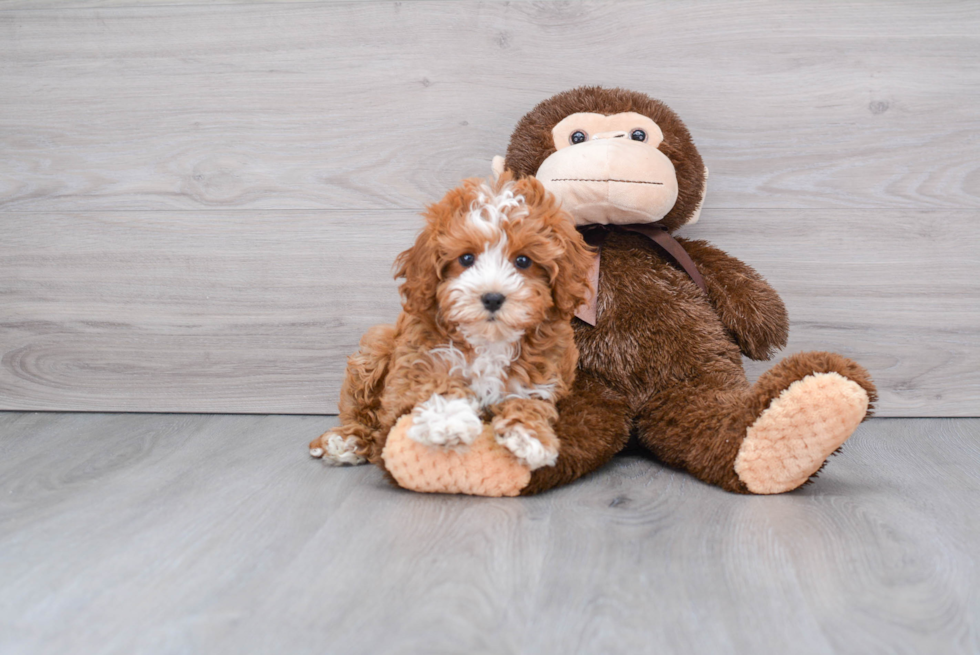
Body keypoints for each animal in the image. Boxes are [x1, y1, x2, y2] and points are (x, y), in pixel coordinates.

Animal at [310, 174, 592, 472]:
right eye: (466, 258)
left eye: (523, 261)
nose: (492, 297)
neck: (487, 341)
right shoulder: (415, 365)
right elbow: (435, 383)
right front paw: (448, 420)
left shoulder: (542, 374)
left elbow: (530, 402)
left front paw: (529, 435)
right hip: (376, 347)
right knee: (361, 413)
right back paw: (346, 441)